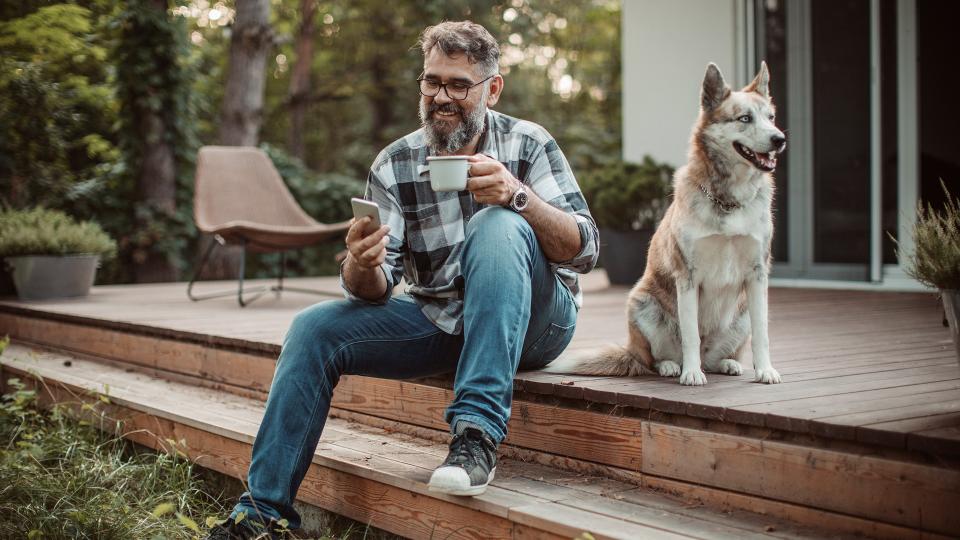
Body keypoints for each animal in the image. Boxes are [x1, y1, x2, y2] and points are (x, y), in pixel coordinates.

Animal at [548, 62, 788, 384]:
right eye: (745, 118)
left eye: (770, 117)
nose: (779, 139)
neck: (728, 200)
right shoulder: (687, 276)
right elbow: (690, 335)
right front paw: (691, 374)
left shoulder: (758, 274)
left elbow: (763, 334)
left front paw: (765, 370)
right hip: (641, 303)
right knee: (655, 358)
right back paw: (672, 367)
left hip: (743, 314)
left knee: (718, 355)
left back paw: (726, 363)